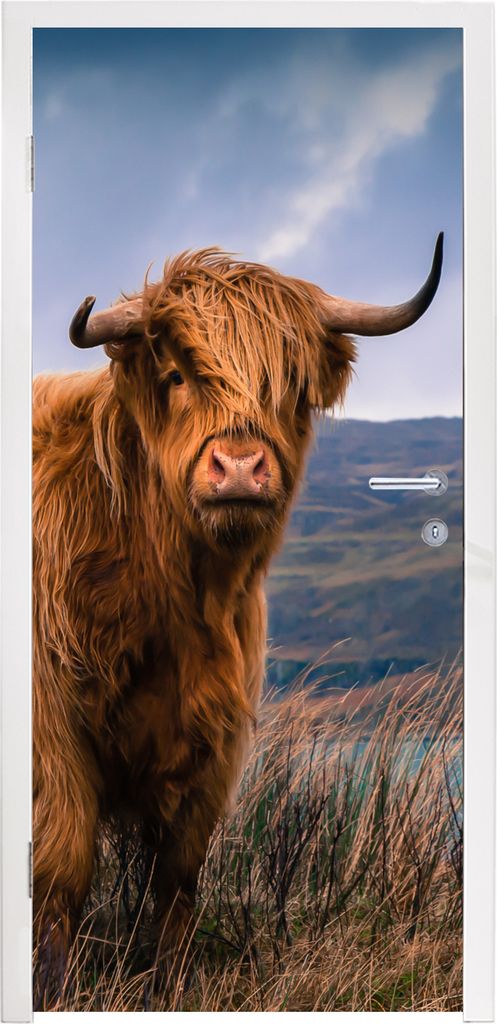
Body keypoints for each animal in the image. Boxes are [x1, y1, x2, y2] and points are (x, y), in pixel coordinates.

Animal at [33, 236, 443, 996]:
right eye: (176, 374)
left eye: (291, 387)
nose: (241, 468)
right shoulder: (53, 733)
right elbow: (61, 867)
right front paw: (51, 988)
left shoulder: (212, 740)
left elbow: (178, 876)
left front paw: (168, 986)